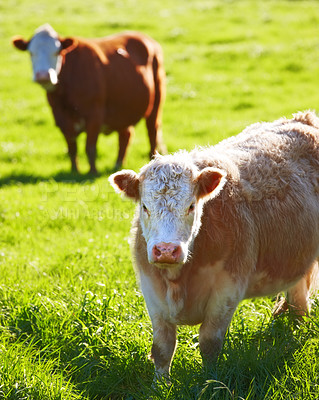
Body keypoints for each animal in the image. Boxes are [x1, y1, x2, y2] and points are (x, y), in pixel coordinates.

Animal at [11, 24, 168, 174]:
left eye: (56, 52)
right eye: (31, 53)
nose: (43, 75)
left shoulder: (95, 116)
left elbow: (90, 147)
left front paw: (93, 171)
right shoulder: (61, 118)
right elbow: (72, 147)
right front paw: (75, 171)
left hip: (155, 105)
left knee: (152, 132)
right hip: (124, 111)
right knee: (125, 135)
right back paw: (118, 164)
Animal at [109, 111, 319, 382]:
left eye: (191, 206)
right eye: (144, 206)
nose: (166, 250)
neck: (179, 281)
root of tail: (303, 119)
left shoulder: (227, 290)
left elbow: (209, 343)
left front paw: (209, 380)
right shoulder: (152, 291)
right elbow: (162, 348)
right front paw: (160, 384)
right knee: (298, 303)